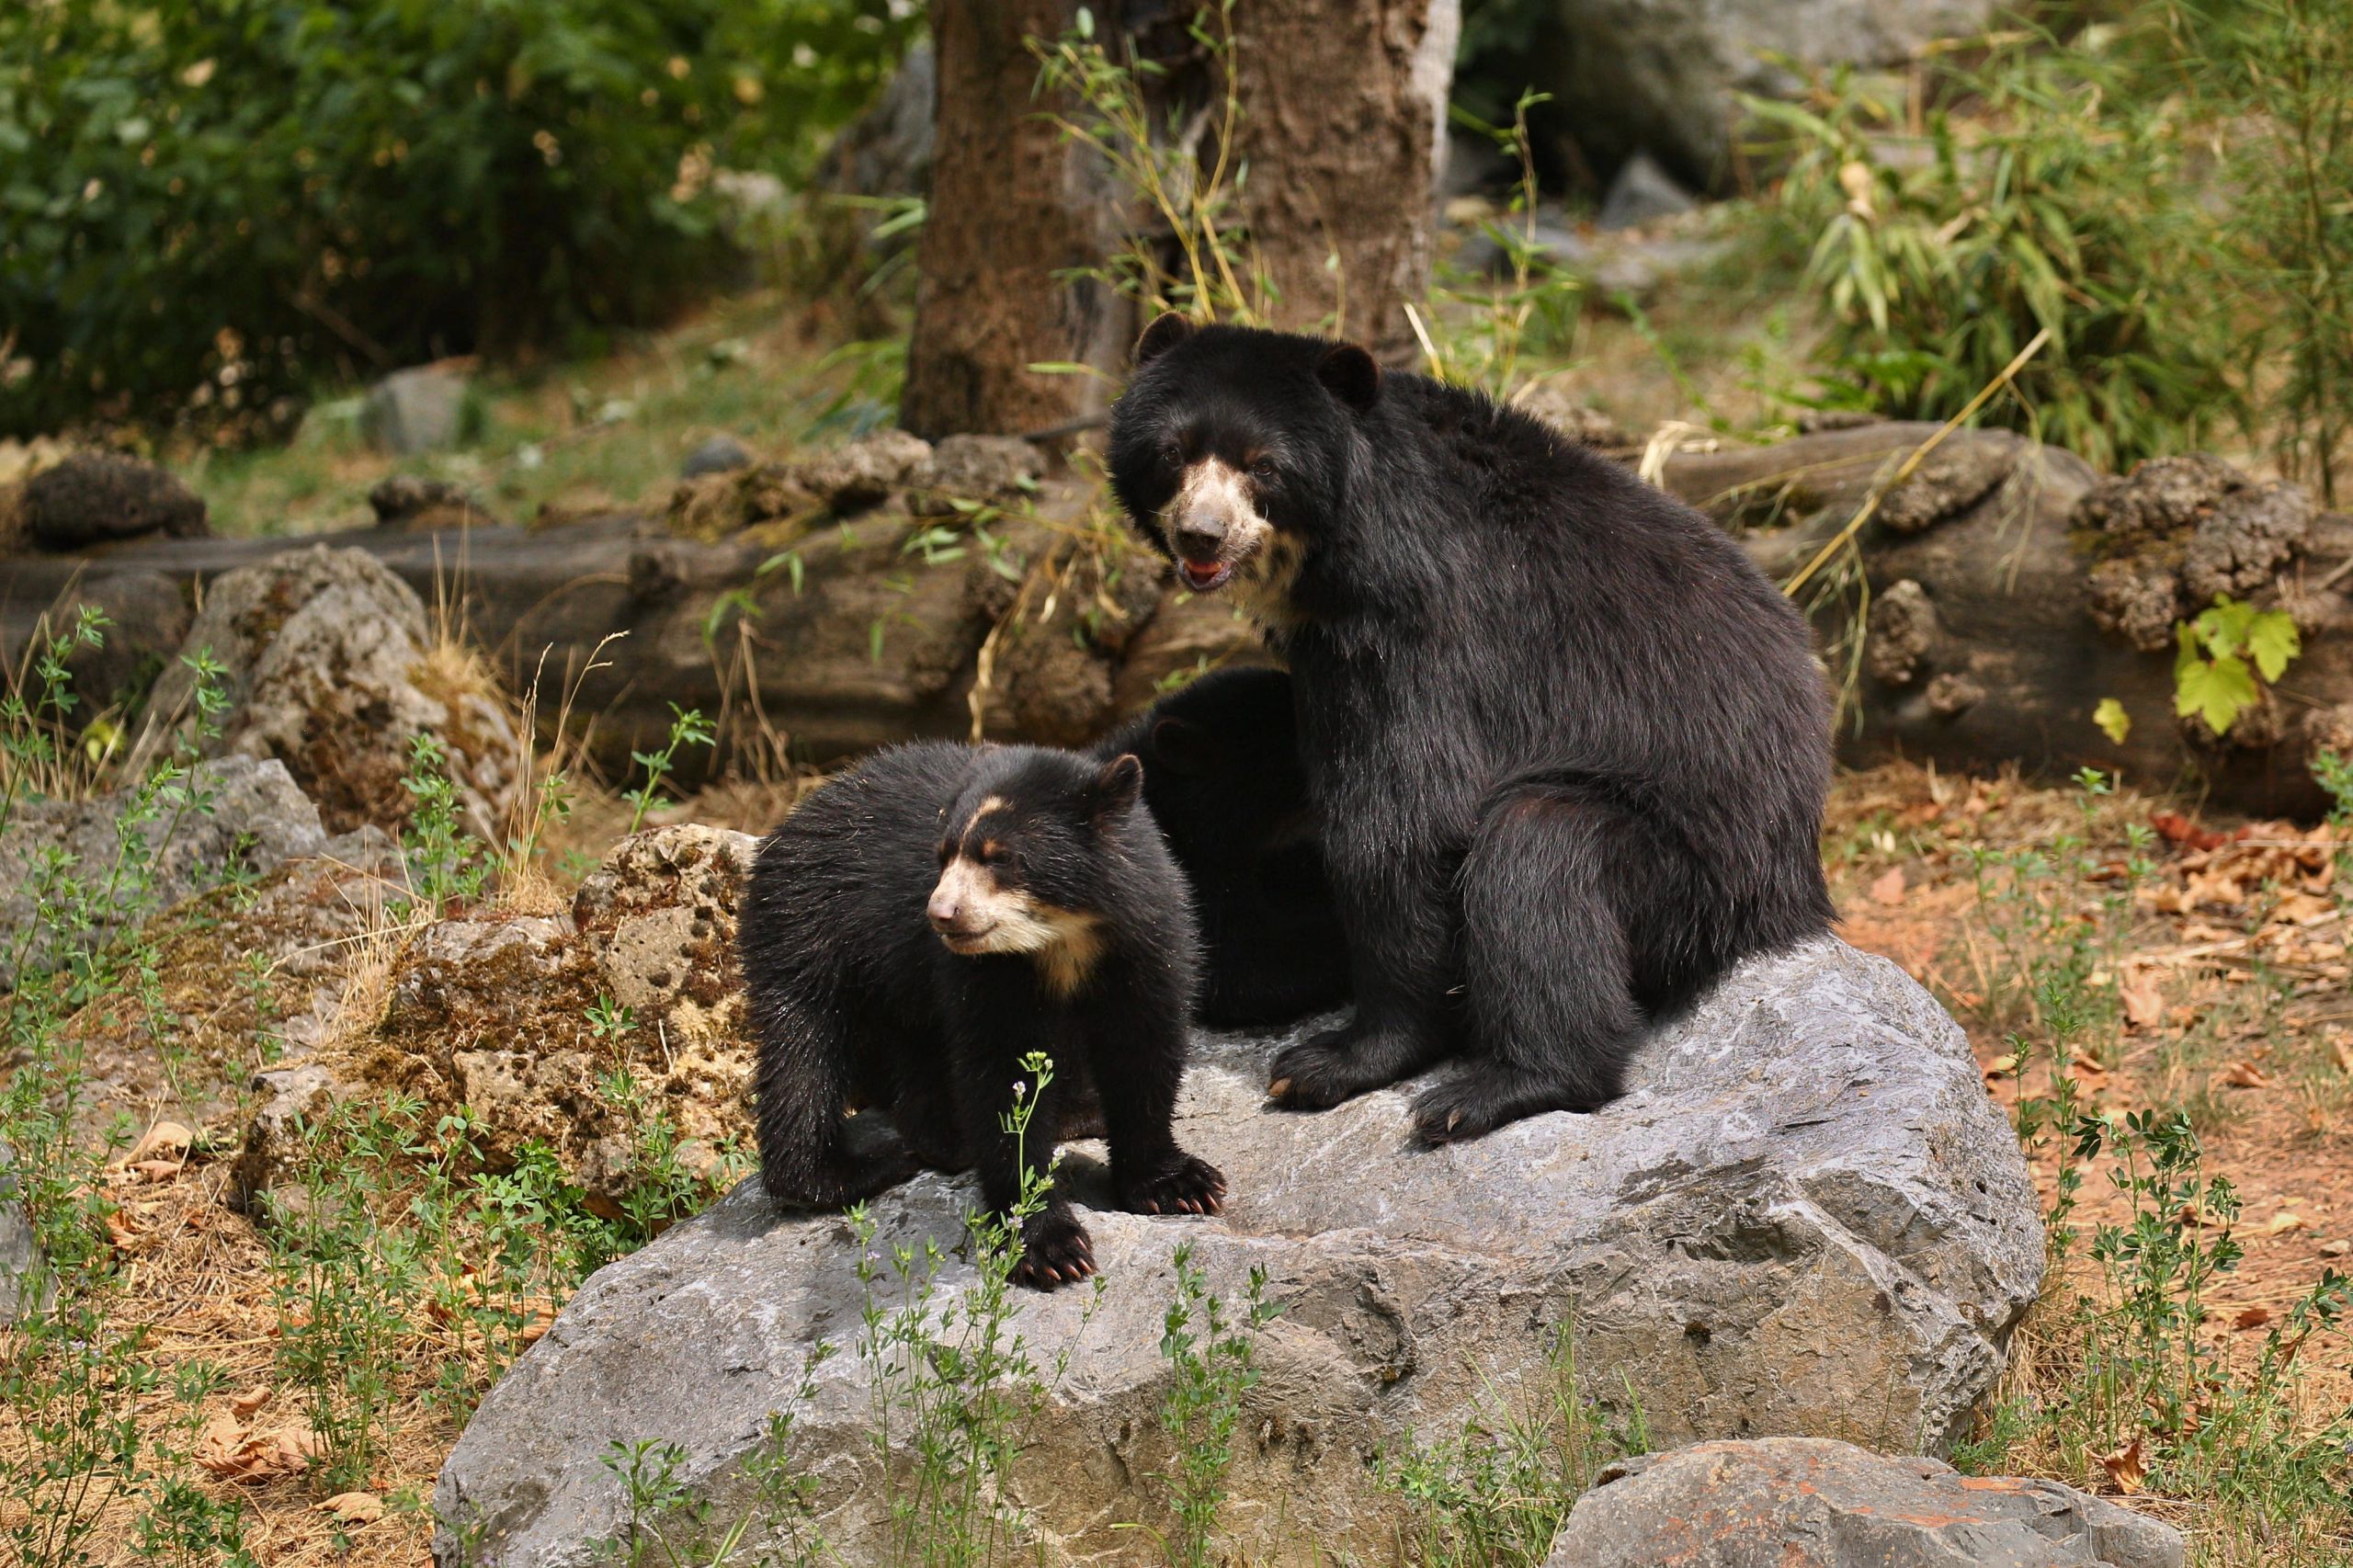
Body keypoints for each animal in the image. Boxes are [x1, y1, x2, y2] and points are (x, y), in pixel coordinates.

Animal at [741, 740, 1224, 1289]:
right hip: (808, 925)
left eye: (1001, 857)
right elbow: (1002, 1076)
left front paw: (1180, 1184)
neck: (1064, 939)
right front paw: (1049, 1245)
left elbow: (1142, 1046)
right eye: (942, 856)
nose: (940, 914)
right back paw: (857, 1169)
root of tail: (789, 821)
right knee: (802, 1049)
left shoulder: (1142, 943)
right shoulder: (988, 972)